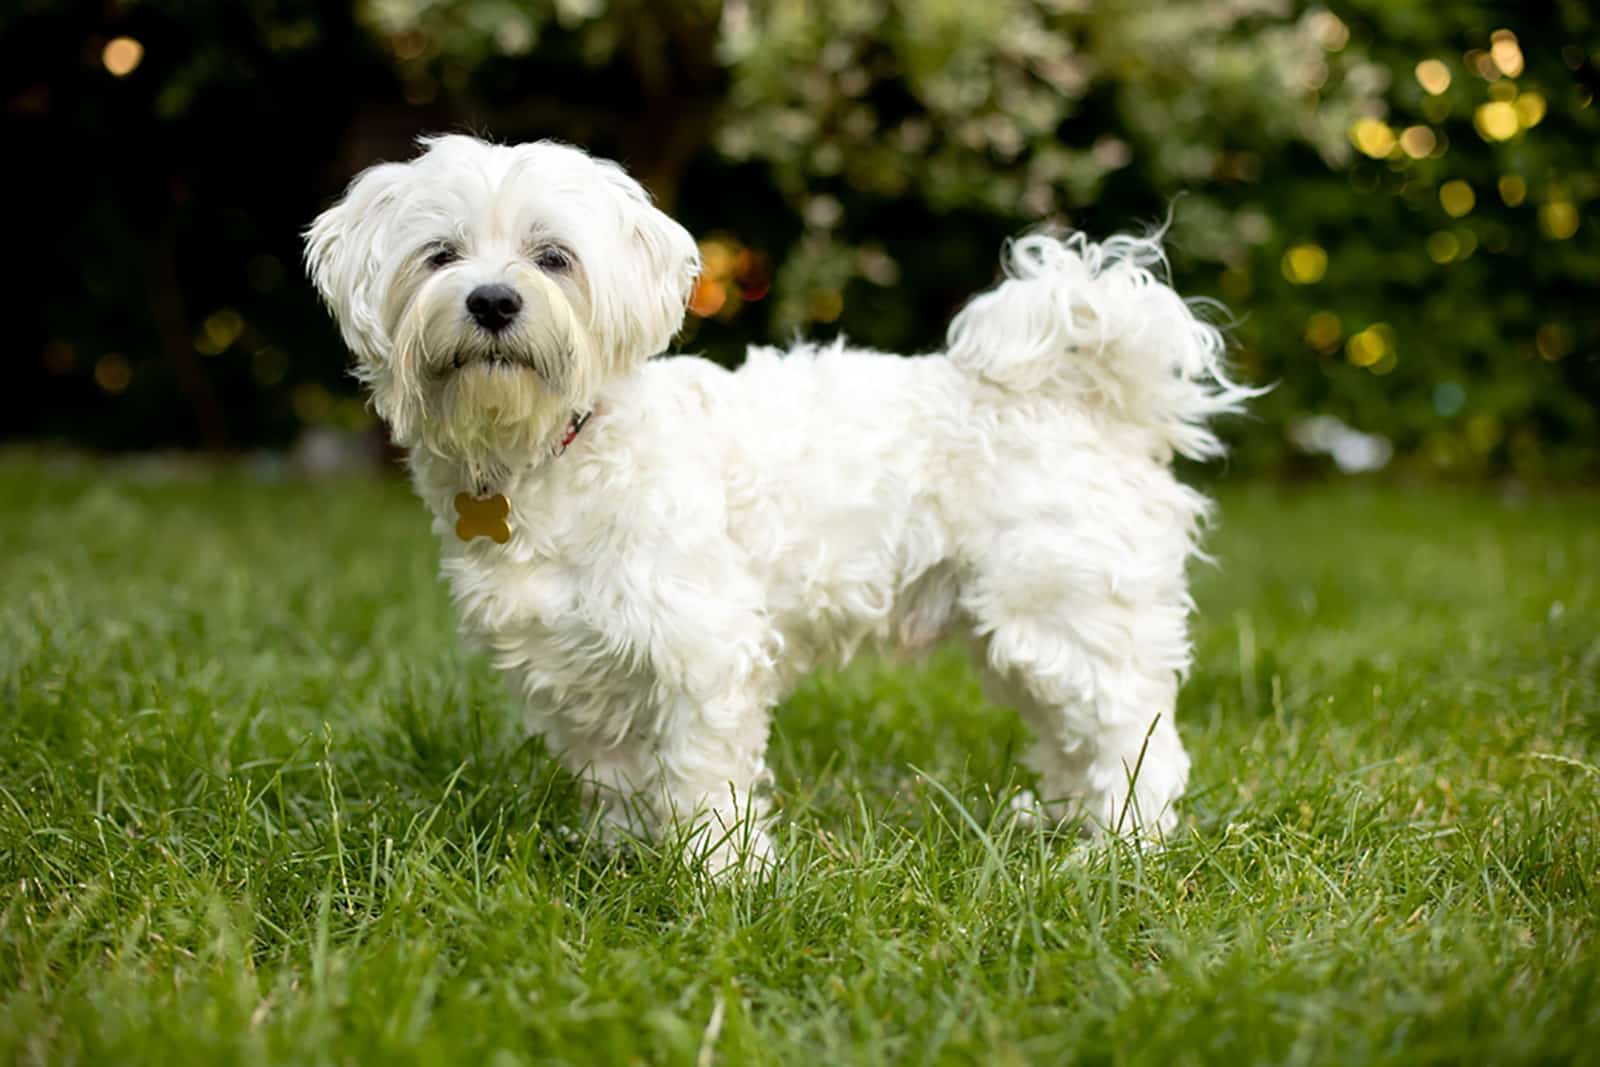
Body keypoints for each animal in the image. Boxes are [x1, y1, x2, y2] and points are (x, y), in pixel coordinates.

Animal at [300, 135, 1248, 876]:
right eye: (440, 255)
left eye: (553, 257)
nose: (492, 300)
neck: (551, 450)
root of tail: (1090, 399)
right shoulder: (575, 662)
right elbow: (615, 772)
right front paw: (617, 853)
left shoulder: (700, 647)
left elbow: (699, 774)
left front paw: (720, 872)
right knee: (1074, 740)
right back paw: (1059, 823)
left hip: (1065, 616)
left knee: (1137, 742)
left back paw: (1116, 849)